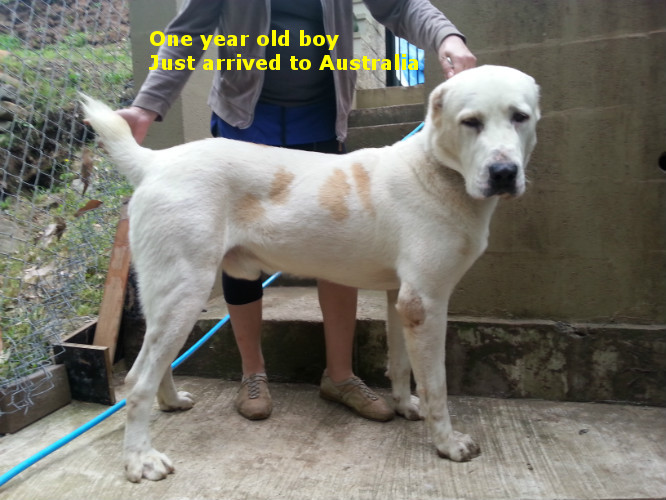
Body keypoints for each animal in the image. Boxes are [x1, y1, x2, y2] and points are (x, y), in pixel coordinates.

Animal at [83, 64, 540, 482]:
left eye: (520, 116)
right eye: (470, 122)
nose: (503, 173)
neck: (437, 168)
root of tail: (156, 161)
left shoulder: (401, 298)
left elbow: (400, 364)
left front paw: (404, 406)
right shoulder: (426, 302)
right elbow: (437, 384)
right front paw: (447, 443)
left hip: (167, 297)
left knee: (155, 360)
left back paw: (172, 402)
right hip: (185, 292)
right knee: (137, 380)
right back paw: (140, 459)